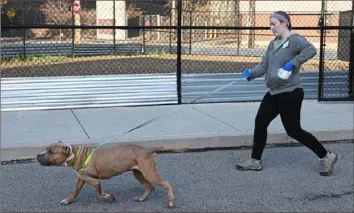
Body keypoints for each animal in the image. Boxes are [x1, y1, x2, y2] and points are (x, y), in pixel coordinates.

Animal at [37, 141, 176, 208]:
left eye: (51, 151)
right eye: (46, 149)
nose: (38, 155)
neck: (76, 154)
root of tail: (147, 150)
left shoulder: (94, 181)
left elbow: (100, 194)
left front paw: (110, 197)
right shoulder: (82, 178)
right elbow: (74, 191)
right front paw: (68, 200)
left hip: (149, 173)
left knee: (167, 183)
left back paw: (171, 201)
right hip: (139, 173)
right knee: (149, 186)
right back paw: (142, 198)